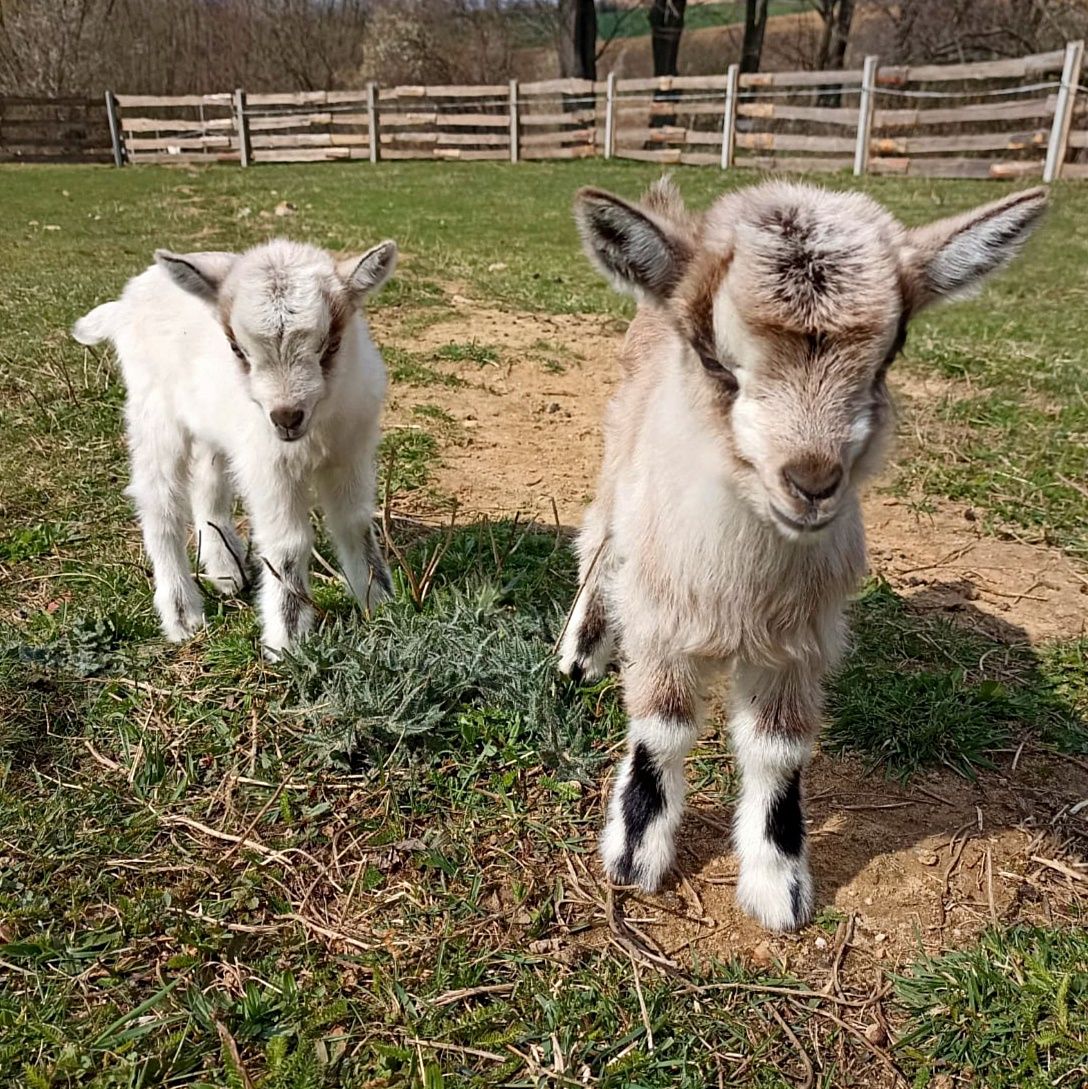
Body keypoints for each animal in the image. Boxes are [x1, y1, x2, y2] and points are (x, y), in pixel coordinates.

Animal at [76, 238, 400, 653]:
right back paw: (182, 615)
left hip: (212, 426)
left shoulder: (352, 451)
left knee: (207, 487)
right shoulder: (268, 463)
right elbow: (287, 543)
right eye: (236, 348)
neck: (316, 431)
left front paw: (383, 606)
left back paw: (225, 571)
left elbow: (355, 523)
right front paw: (287, 642)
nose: (286, 416)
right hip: (154, 413)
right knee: (160, 502)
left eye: (331, 345)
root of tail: (127, 301)